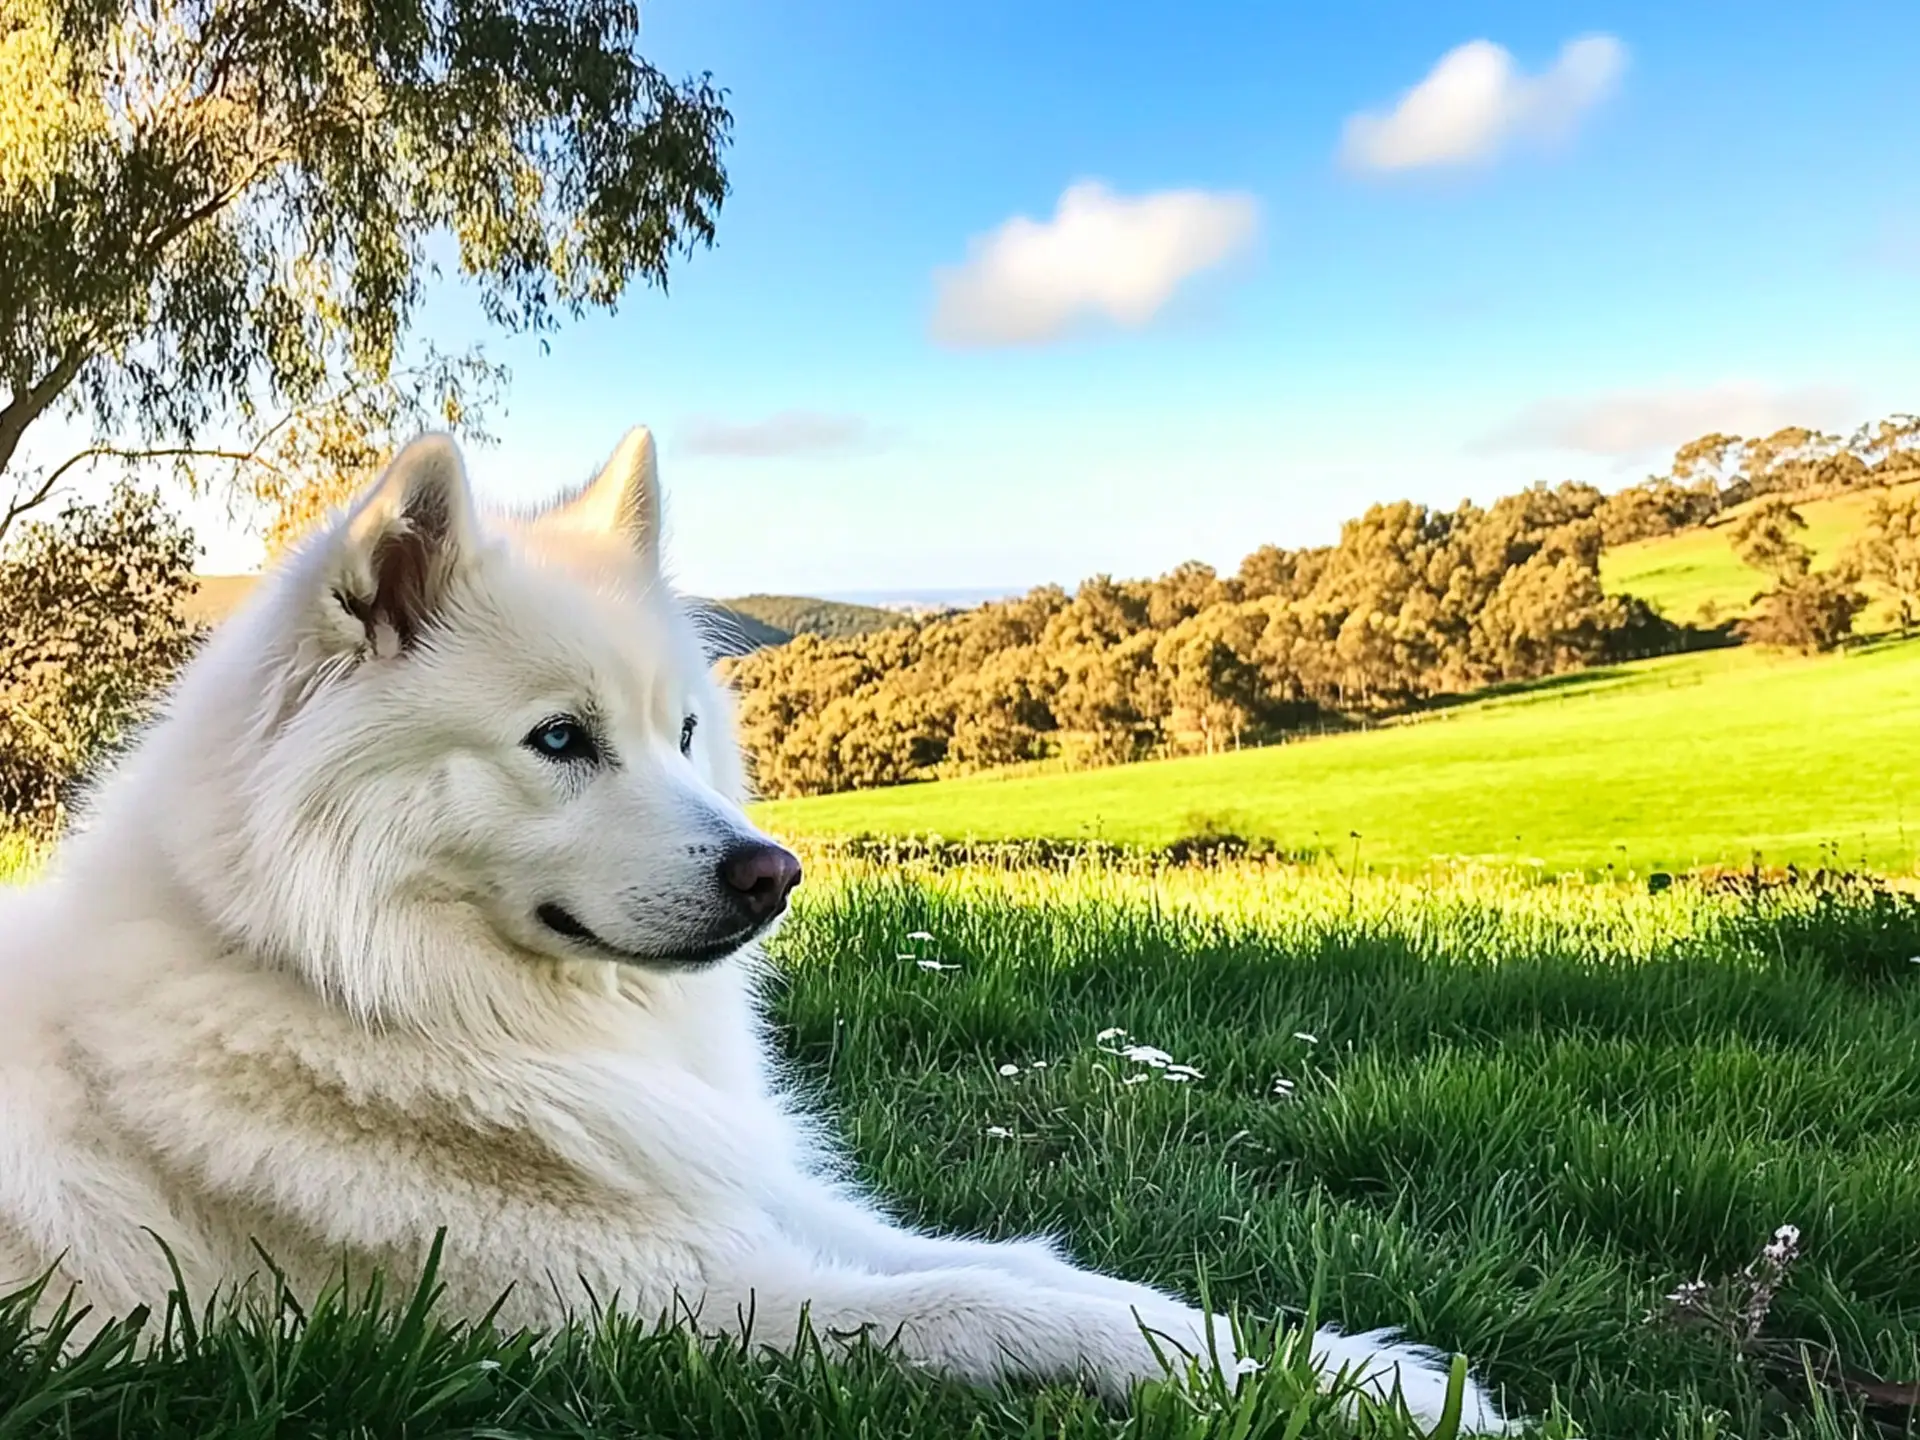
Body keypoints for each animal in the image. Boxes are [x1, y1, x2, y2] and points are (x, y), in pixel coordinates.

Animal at [0, 428, 1512, 1436]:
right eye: (561, 741)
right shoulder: (647, 1306)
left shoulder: (743, 1202)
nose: (772, 874)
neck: (365, 989)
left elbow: (1043, 1267)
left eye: (681, 733)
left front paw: (1363, 1371)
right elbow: (979, 1305)